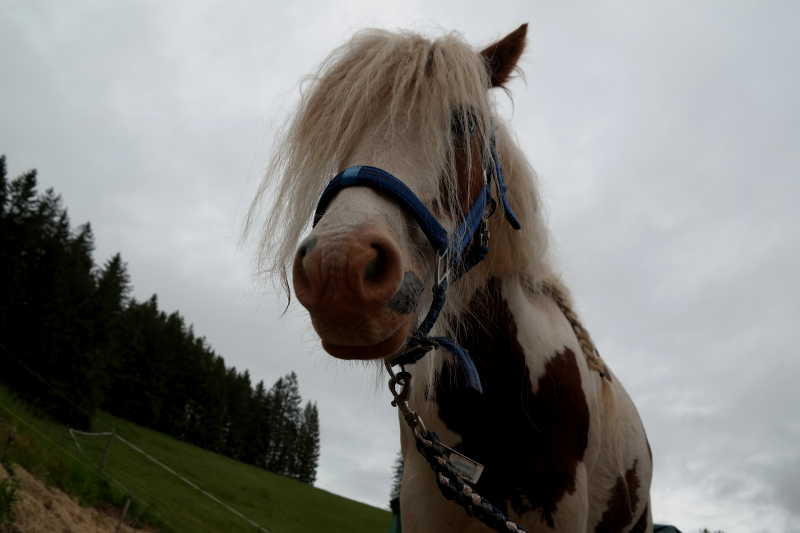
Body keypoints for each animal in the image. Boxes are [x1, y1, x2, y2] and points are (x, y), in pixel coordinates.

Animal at [247, 22, 652, 532]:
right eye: (343, 129)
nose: (337, 268)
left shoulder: (557, 502)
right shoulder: (422, 500)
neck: (497, 394)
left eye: (466, 123)